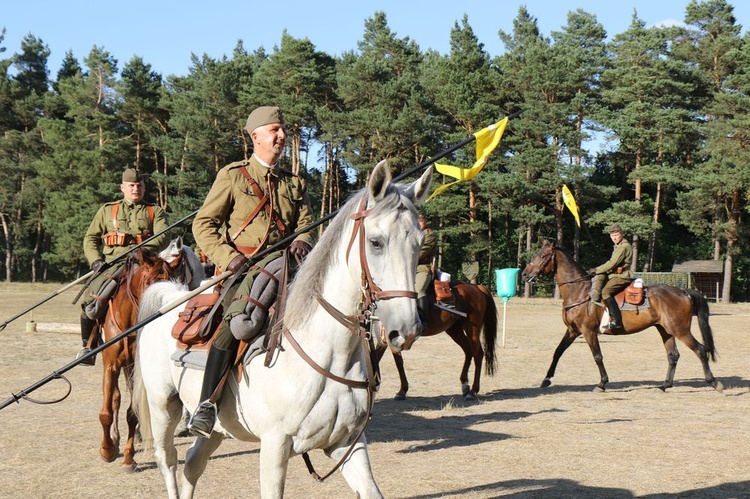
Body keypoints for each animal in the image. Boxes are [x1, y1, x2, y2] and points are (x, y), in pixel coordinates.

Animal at [99, 240, 206, 470]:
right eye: (148, 281)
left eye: (173, 279)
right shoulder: (111, 365)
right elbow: (106, 412)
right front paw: (107, 450)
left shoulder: (137, 367)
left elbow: (133, 412)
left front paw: (128, 457)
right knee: (115, 399)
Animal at [135, 162, 434, 498]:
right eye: (376, 242)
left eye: (419, 243)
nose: (405, 330)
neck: (328, 355)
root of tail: (172, 298)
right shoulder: (274, 447)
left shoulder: (347, 444)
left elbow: (371, 490)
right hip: (163, 406)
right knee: (168, 460)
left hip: (218, 428)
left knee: (192, 464)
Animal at [524, 242, 724, 394]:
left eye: (543, 255)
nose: (525, 274)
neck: (579, 291)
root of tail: (683, 291)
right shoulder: (573, 331)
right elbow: (558, 351)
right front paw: (546, 379)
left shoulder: (588, 332)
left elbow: (597, 356)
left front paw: (602, 383)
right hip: (665, 330)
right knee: (673, 355)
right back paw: (665, 385)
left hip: (680, 330)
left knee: (700, 349)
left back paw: (714, 382)